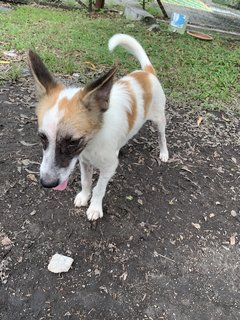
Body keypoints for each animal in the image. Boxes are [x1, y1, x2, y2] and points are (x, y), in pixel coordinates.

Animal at [28, 33, 169, 221]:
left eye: (73, 142)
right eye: (42, 137)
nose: (47, 183)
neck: (94, 139)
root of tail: (146, 72)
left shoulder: (109, 167)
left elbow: (99, 188)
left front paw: (95, 206)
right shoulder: (84, 161)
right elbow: (86, 182)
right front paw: (84, 196)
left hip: (159, 119)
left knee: (162, 135)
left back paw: (164, 152)